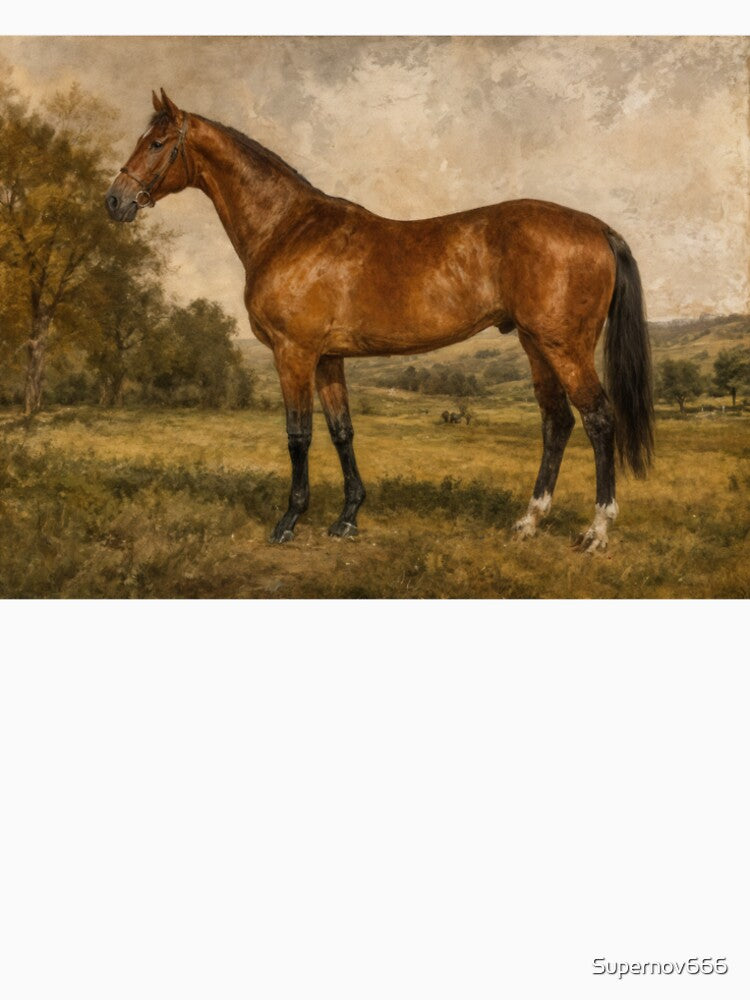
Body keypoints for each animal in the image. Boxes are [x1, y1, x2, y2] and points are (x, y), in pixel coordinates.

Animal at [105, 89, 653, 552]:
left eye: (156, 143)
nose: (115, 201)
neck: (288, 229)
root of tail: (598, 228)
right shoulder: (328, 359)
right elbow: (341, 432)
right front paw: (347, 517)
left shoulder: (293, 353)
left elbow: (298, 435)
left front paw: (289, 521)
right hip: (536, 345)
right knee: (557, 421)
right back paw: (529, 521)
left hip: (565, 346)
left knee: (599, 420)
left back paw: (596, 531)